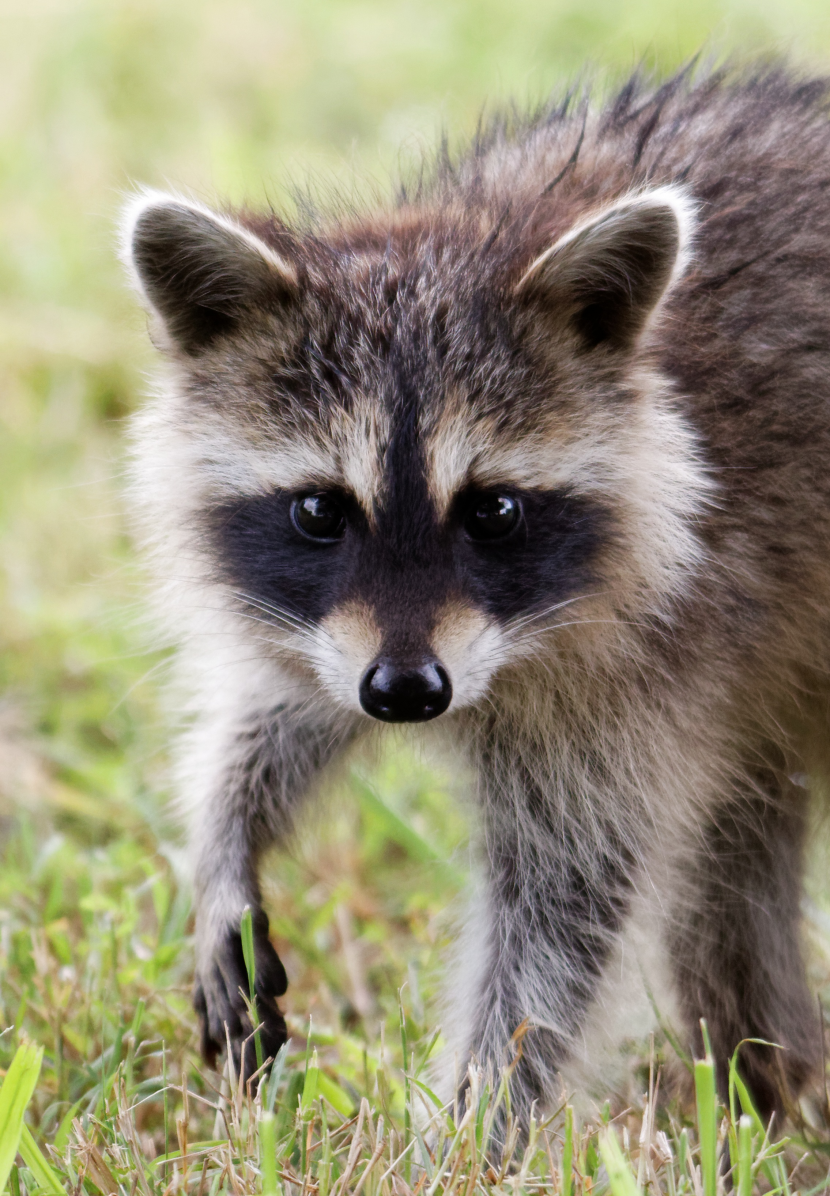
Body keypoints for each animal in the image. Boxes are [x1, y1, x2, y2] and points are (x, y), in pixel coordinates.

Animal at [123, 67, 830, 1129]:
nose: (407, 695)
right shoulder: (340, 631)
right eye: (319, 510)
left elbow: (561, 913)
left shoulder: (654, 659)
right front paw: (222, 841)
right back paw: (769, 1080)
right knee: (734, 872)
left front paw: (473, 1129)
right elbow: (285, 712)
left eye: (493, 509)